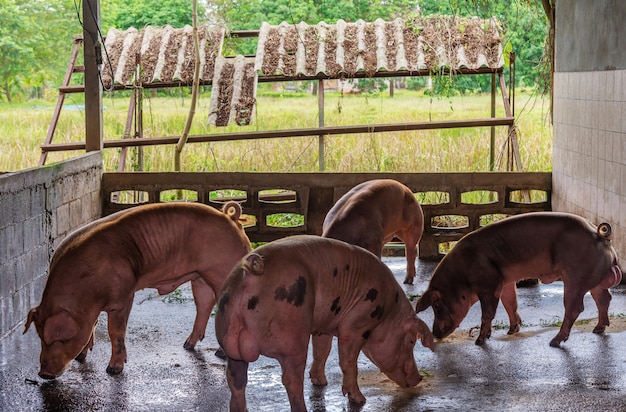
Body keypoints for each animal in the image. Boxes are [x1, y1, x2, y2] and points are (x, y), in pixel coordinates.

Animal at [24, 201, 249, 378]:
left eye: (60, 338)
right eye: (40, 337)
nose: (43, 374)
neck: (85, 291)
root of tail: (230, 218)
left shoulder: (123, 296)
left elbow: (116, 332)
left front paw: (113, 370)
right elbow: (93, 326)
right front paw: (82, 357)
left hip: (223, 272)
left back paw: (221, 354)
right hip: (200, 278)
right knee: (204, 305)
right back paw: (187, 345)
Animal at [212, 235, 432, 412]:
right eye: (411, 341)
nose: (420, 377)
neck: (387, 312)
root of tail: (251, 271)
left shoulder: (322, 327)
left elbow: (322, 351)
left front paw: (321, 382)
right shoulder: (355, 326)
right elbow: (348, 362)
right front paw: (360, 400)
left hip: (227, 338)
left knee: (236, 380)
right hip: (292, 339)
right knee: (291, 380)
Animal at [414, 212, 620, 348]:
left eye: (437, 306)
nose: (435, 333)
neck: (461, 277)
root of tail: (599, 234)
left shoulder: (488, 284)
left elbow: (488, 312)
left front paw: (479, 341)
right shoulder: (505, 282)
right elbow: (510, 303)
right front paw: (512, 330)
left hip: (575, 277)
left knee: (575, 308)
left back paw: (554, 341)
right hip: (594, 278)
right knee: (604, 298)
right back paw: (598, 329)